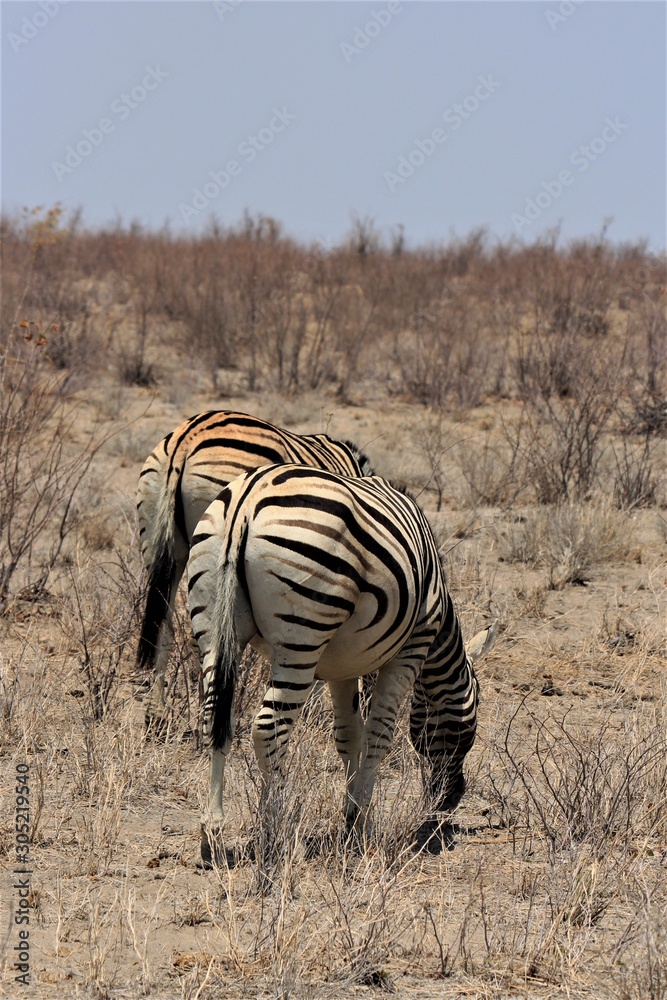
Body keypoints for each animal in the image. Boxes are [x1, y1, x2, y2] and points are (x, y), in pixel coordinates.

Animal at [186, 463, 497, 866]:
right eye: (469, 727)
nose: (451, 800)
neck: (440, 619)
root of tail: (246, 500)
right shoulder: (412, 648)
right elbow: (379, 734)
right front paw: (361, 821)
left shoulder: (341, 667)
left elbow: (349, 735)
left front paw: (350, 818)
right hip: (302, 635)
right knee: (269, 728)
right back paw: (274, 832)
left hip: (212, 623)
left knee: (214, 717)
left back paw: (212, 834)